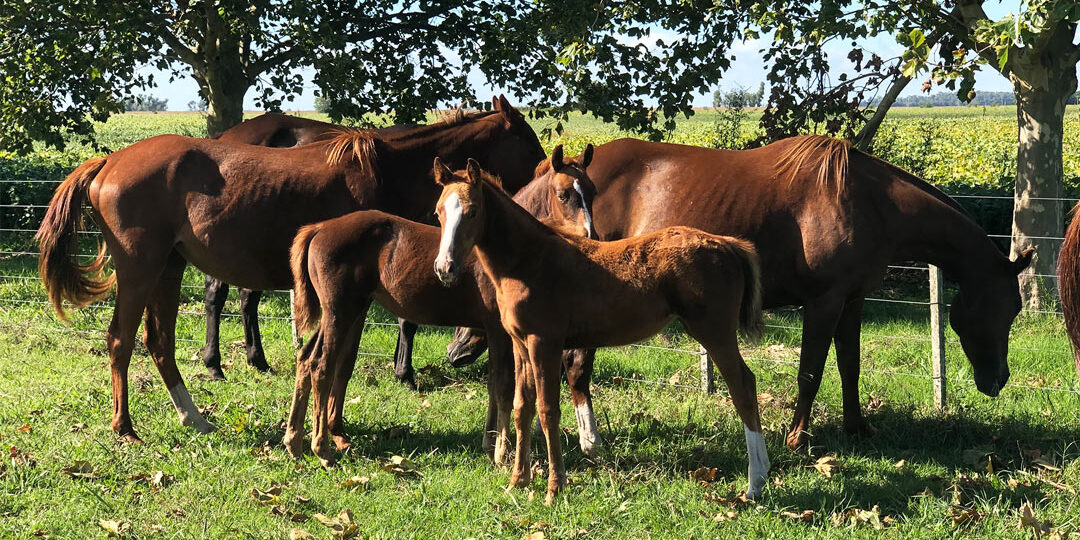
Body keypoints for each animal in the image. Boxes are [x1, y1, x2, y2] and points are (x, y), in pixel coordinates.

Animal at [284, 147, 597, 468]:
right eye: (562, 195)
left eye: (592, 192)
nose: (590, 235)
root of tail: (319, 227)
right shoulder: (498, 330)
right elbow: (504, 387)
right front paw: (502, 452)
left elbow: (494, 386)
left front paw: (490, 444)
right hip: (340, 312)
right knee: (321, 366)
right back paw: (322, 449)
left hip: (340, 313)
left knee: (305, 359)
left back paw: (294, 441)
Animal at [433, 159, 768, 504]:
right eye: (438, 212)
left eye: (472, 212)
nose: (445, 268)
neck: (529, 262)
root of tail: (727, 244)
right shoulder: (520, 344)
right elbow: (521, 408)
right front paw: (518, 482)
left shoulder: (545, 343)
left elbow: (547, 410)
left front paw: (554, 489)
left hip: (715, 332)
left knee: (743, 387)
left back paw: (755, 484)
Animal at [448, 135, 1034, 451]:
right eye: (1004, 309)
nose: (997, 380)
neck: (864, 200)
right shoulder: (822, 302)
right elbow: (811, 370)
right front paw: (797, 438)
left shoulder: (853, 302)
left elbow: (849, 367)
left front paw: (857, 428)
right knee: (575, 367)